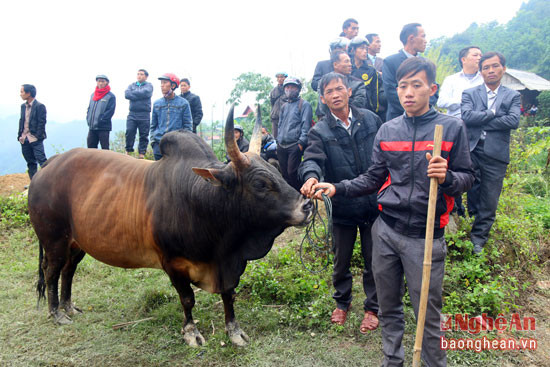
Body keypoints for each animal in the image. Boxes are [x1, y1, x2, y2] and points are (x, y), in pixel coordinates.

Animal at [30, 106, 312, 348]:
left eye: (276, 170)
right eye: (261, 183)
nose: (307, 205)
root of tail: (48, 165)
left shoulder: (227, 265)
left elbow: (228, 295)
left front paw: (234, 331)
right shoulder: (173, 264)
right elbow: (187, 299)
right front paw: (191, 332)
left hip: (77, 244)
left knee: (68, 271)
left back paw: (69, 306)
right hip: (54, 241)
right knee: (52, 272)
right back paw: (56, 313)